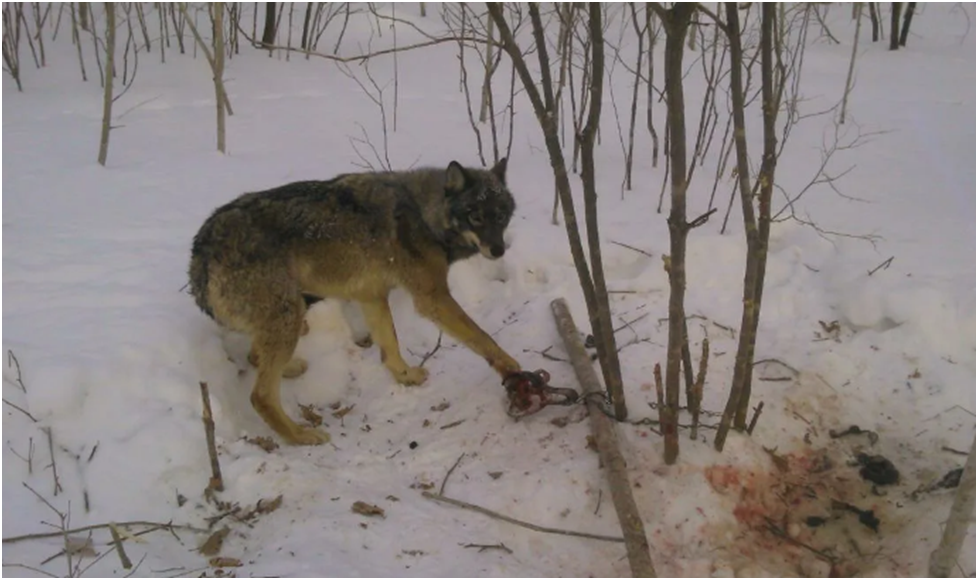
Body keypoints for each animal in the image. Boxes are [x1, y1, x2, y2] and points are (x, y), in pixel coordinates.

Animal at [192, 156, 528, 446]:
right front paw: (513, 370)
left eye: (500, 216)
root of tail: (200, 252)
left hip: (289, 315)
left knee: (255, 357)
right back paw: (301, 436)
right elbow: (483, 338)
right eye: (476, 217)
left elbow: (390, 346)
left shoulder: (372, 296)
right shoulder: (432, 298)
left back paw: (290, 368)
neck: (423, 214)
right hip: (290, 313)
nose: (498, 250)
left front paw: (405, 376)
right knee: (260, 396)